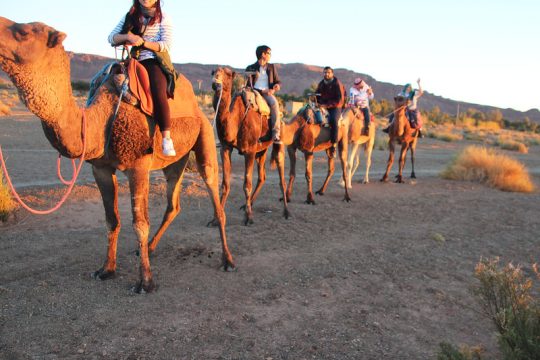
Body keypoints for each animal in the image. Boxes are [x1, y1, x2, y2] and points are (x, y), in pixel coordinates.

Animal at [1, 16, 235, 292]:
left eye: (24, 32)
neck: (99, 119)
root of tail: (199, 107)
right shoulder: (100, 167)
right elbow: (112, 219)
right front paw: (106, 269)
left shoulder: (138, 166)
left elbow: (140, 223)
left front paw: (145, 282)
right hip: (175, 161)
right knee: (173, 204)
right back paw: (151, 248)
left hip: (205, 138)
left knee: (214, 194)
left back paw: (228, 260)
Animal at [210, 67, 288, 225]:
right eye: (213, 72)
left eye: (228, 74)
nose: (216, 83)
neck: (236, 118)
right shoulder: (225, 148)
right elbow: (225, 184)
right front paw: (216, 219)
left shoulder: (249, 151)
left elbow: (247, 184)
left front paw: (248, 217)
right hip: (261, 150)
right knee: (262, 176)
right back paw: (248, 204)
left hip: (277, 140)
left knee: (281, 177)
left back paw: (286, 212)